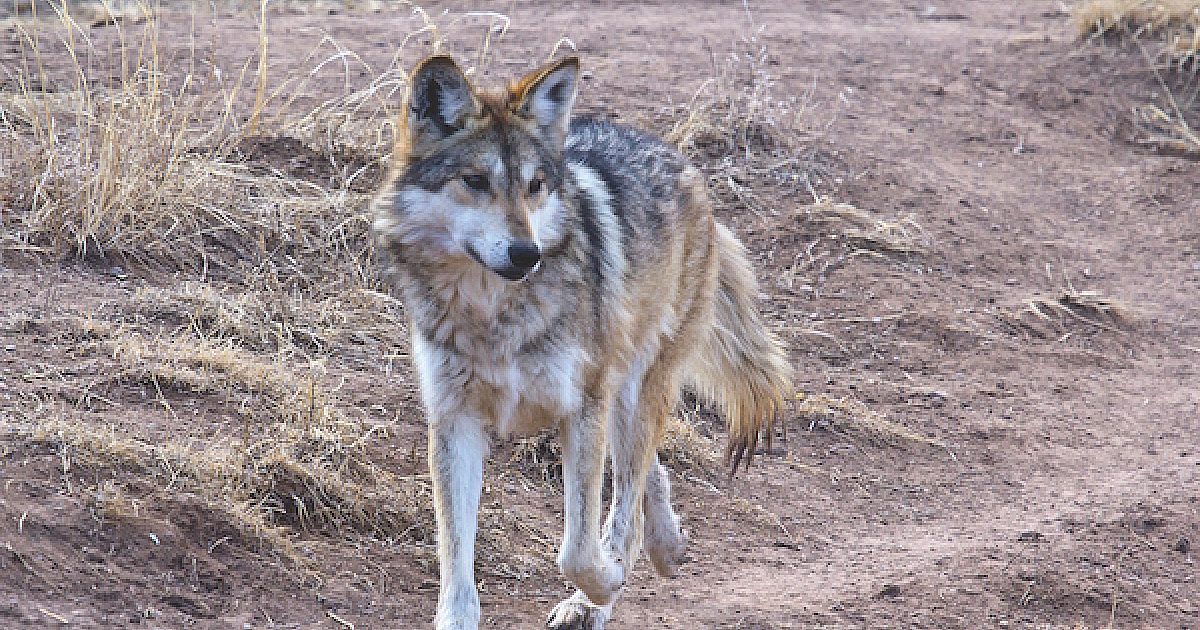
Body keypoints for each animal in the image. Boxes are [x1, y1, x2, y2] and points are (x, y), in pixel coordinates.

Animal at [371, 54, 792, 630]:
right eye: (475, 181)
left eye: (535, 186)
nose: (526, 253)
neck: (494, 315)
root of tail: (679, 161)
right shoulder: (455, 420)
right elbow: (456, 569)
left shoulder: (582, 409)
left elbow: (577, 550)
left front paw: (605, 583)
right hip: (619, 398)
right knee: (644, 474)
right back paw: (667, 545)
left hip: (633, 389)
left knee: (629, 491)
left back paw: (607, 588)